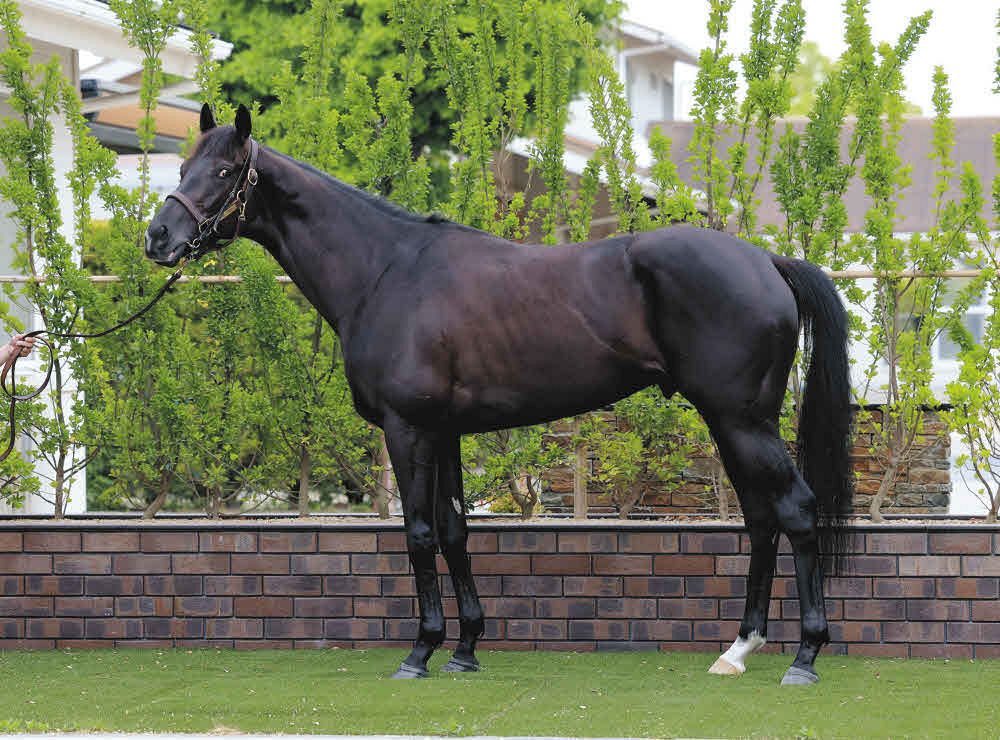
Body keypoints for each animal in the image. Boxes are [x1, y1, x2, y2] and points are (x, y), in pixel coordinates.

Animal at [145, 104, 852, 686]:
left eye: (226, 170)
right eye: (182, 165)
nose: (158, 238)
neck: (387, 270)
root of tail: (765, 261)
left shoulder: (407, 429)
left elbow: (419, 533)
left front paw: (420, 652)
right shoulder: (445, 431)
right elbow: (456, 530)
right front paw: (464, 649)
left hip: (743, 420)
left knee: (795, 510)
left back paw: (805, 656)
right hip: (731, 422)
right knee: (761, 519)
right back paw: (738, 649)